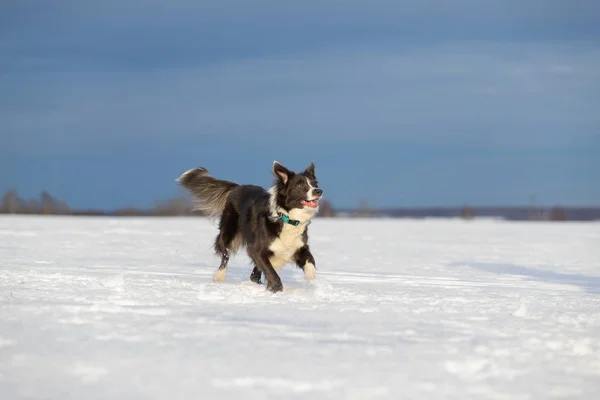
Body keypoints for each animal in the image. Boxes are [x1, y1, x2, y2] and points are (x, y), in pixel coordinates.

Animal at [178, 161, 324, 292]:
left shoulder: (299, 247)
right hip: (229, 232)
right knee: (225, 254)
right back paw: (219, 277)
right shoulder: (256, 250)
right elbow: (272, 274)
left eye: (315, 184)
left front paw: (312, 281)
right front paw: (278, 290)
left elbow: (310, 261)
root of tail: (237, 187)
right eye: (300, 185)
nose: (319, 191)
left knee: (253, 275)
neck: (287, 217)